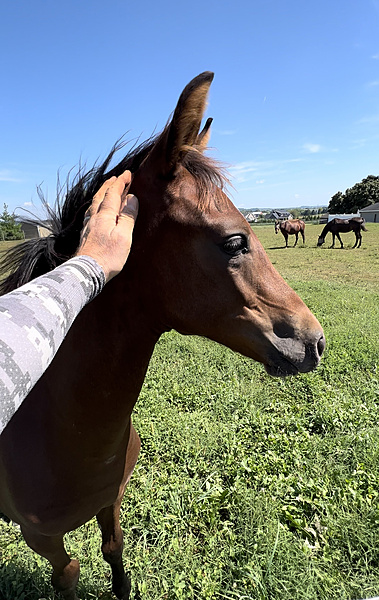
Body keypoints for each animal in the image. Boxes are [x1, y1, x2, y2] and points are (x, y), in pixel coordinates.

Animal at [0, 71, 326, 600]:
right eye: (235, 240)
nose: (314, 341)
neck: (57, 425)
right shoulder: (40, 535)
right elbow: (68, 572)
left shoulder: (110, 502)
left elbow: (114, 553)